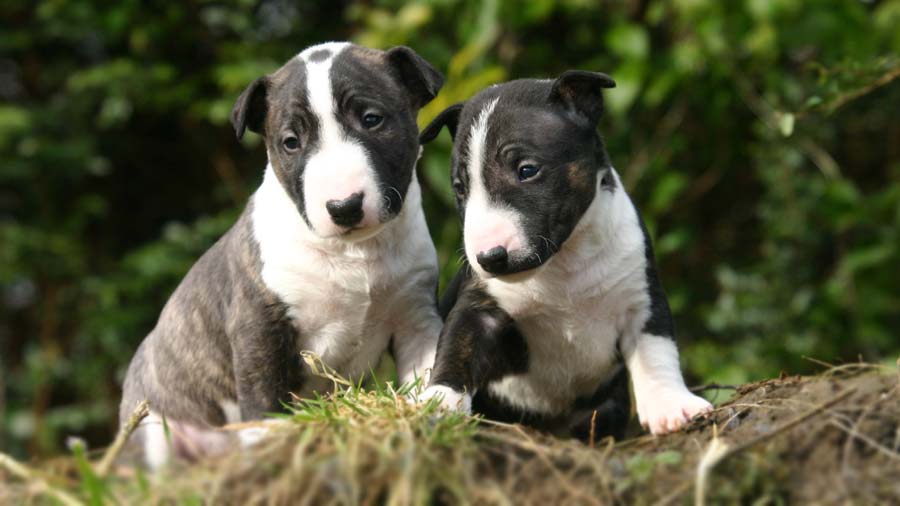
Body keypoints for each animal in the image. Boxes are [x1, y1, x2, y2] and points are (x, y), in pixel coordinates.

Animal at [119, 43, 442, 466]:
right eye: (291, 142)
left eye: (372, 119)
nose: (344, 207)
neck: (354, 252)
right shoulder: (258, 326)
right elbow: (263, 397)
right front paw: (268, 444)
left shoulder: (415, 315)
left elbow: (428, 366)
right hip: (153, 430)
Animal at [420, 72, 712, 438]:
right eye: (460, 188)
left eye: (527, 170)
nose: (489, 257)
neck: (563, 264)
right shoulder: (481, 308)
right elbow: (455, 348)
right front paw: (438, 402)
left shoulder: (640, 298)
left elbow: (657, 348)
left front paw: (673, 405)